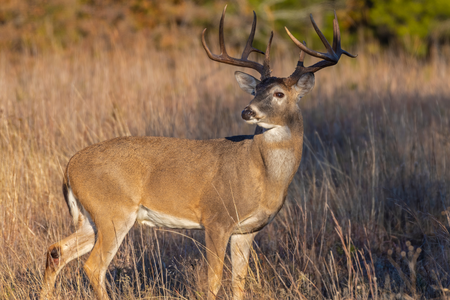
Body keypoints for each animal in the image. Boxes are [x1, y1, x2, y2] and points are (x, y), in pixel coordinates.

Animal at [41, 5, 356, 300]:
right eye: (255, 90)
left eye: (279, 94)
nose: (247, 111)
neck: (262, 175)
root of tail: (69, 167)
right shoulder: (216, 218)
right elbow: (213, 281)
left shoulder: (247, 231)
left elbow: (238, 282)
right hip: (113, 211)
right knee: (93, 266)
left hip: (90, 217)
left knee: (56, 250)